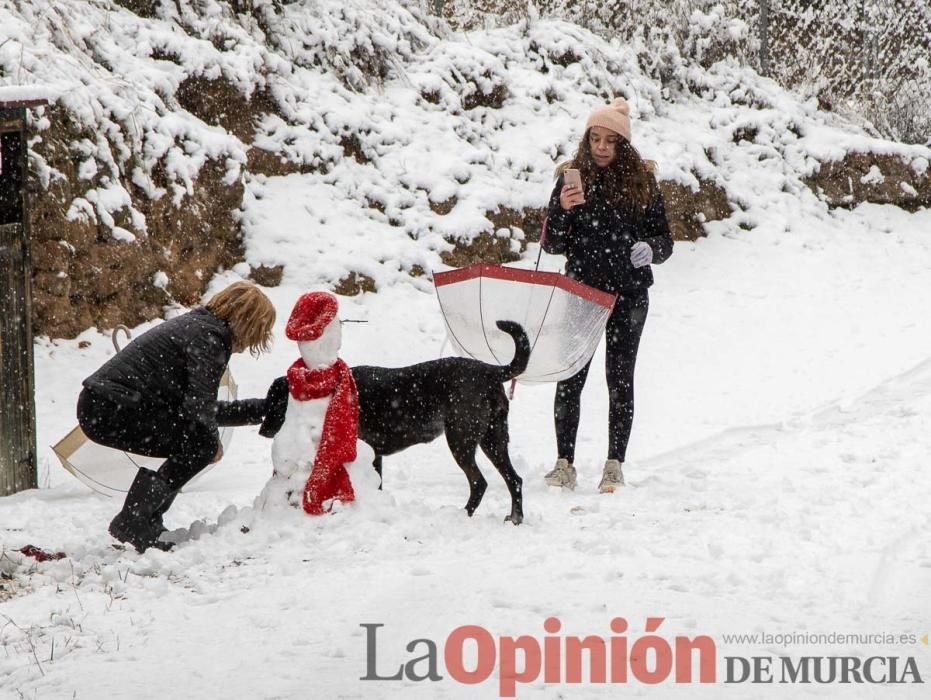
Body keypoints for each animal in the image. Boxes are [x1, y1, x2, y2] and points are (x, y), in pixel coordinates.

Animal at [260, 320, 532, 524]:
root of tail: (489, 371)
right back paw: (515, 518)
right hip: (494, 439)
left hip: (461, 440)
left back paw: (463, 514)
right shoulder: (375, 455)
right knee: (514, 479)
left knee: (479, 482)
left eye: (274, 401)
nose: (262, 430)